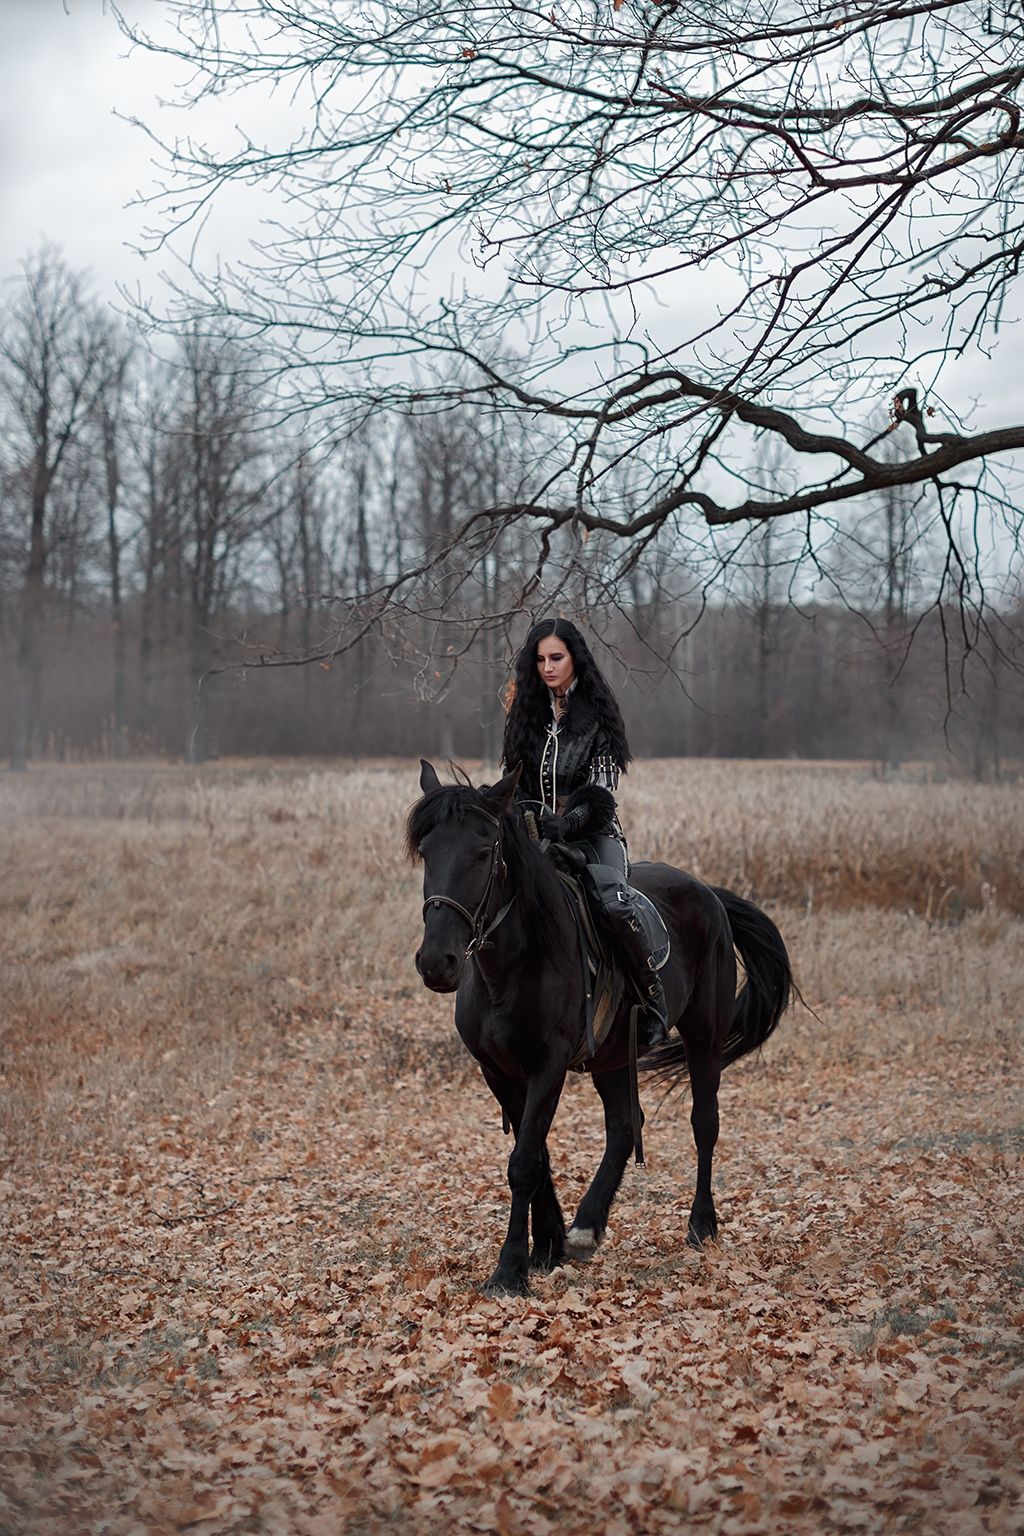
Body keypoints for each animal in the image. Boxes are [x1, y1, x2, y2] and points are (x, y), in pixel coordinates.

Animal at [408, 761, 792, 1290]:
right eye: (426, 852)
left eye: (484, 853)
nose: (436, 963)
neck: (514, 964)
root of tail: (709, 894)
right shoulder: (498, 1071)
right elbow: (538, 1154)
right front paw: (548, 1244)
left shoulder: (548, 1064)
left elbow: (524, 1161)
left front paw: (510, 1269)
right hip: (613, 1057)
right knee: (626, 1126)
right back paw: (586, 1228)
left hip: (704, 1038)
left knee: (704, 1123)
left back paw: (701, 1226)